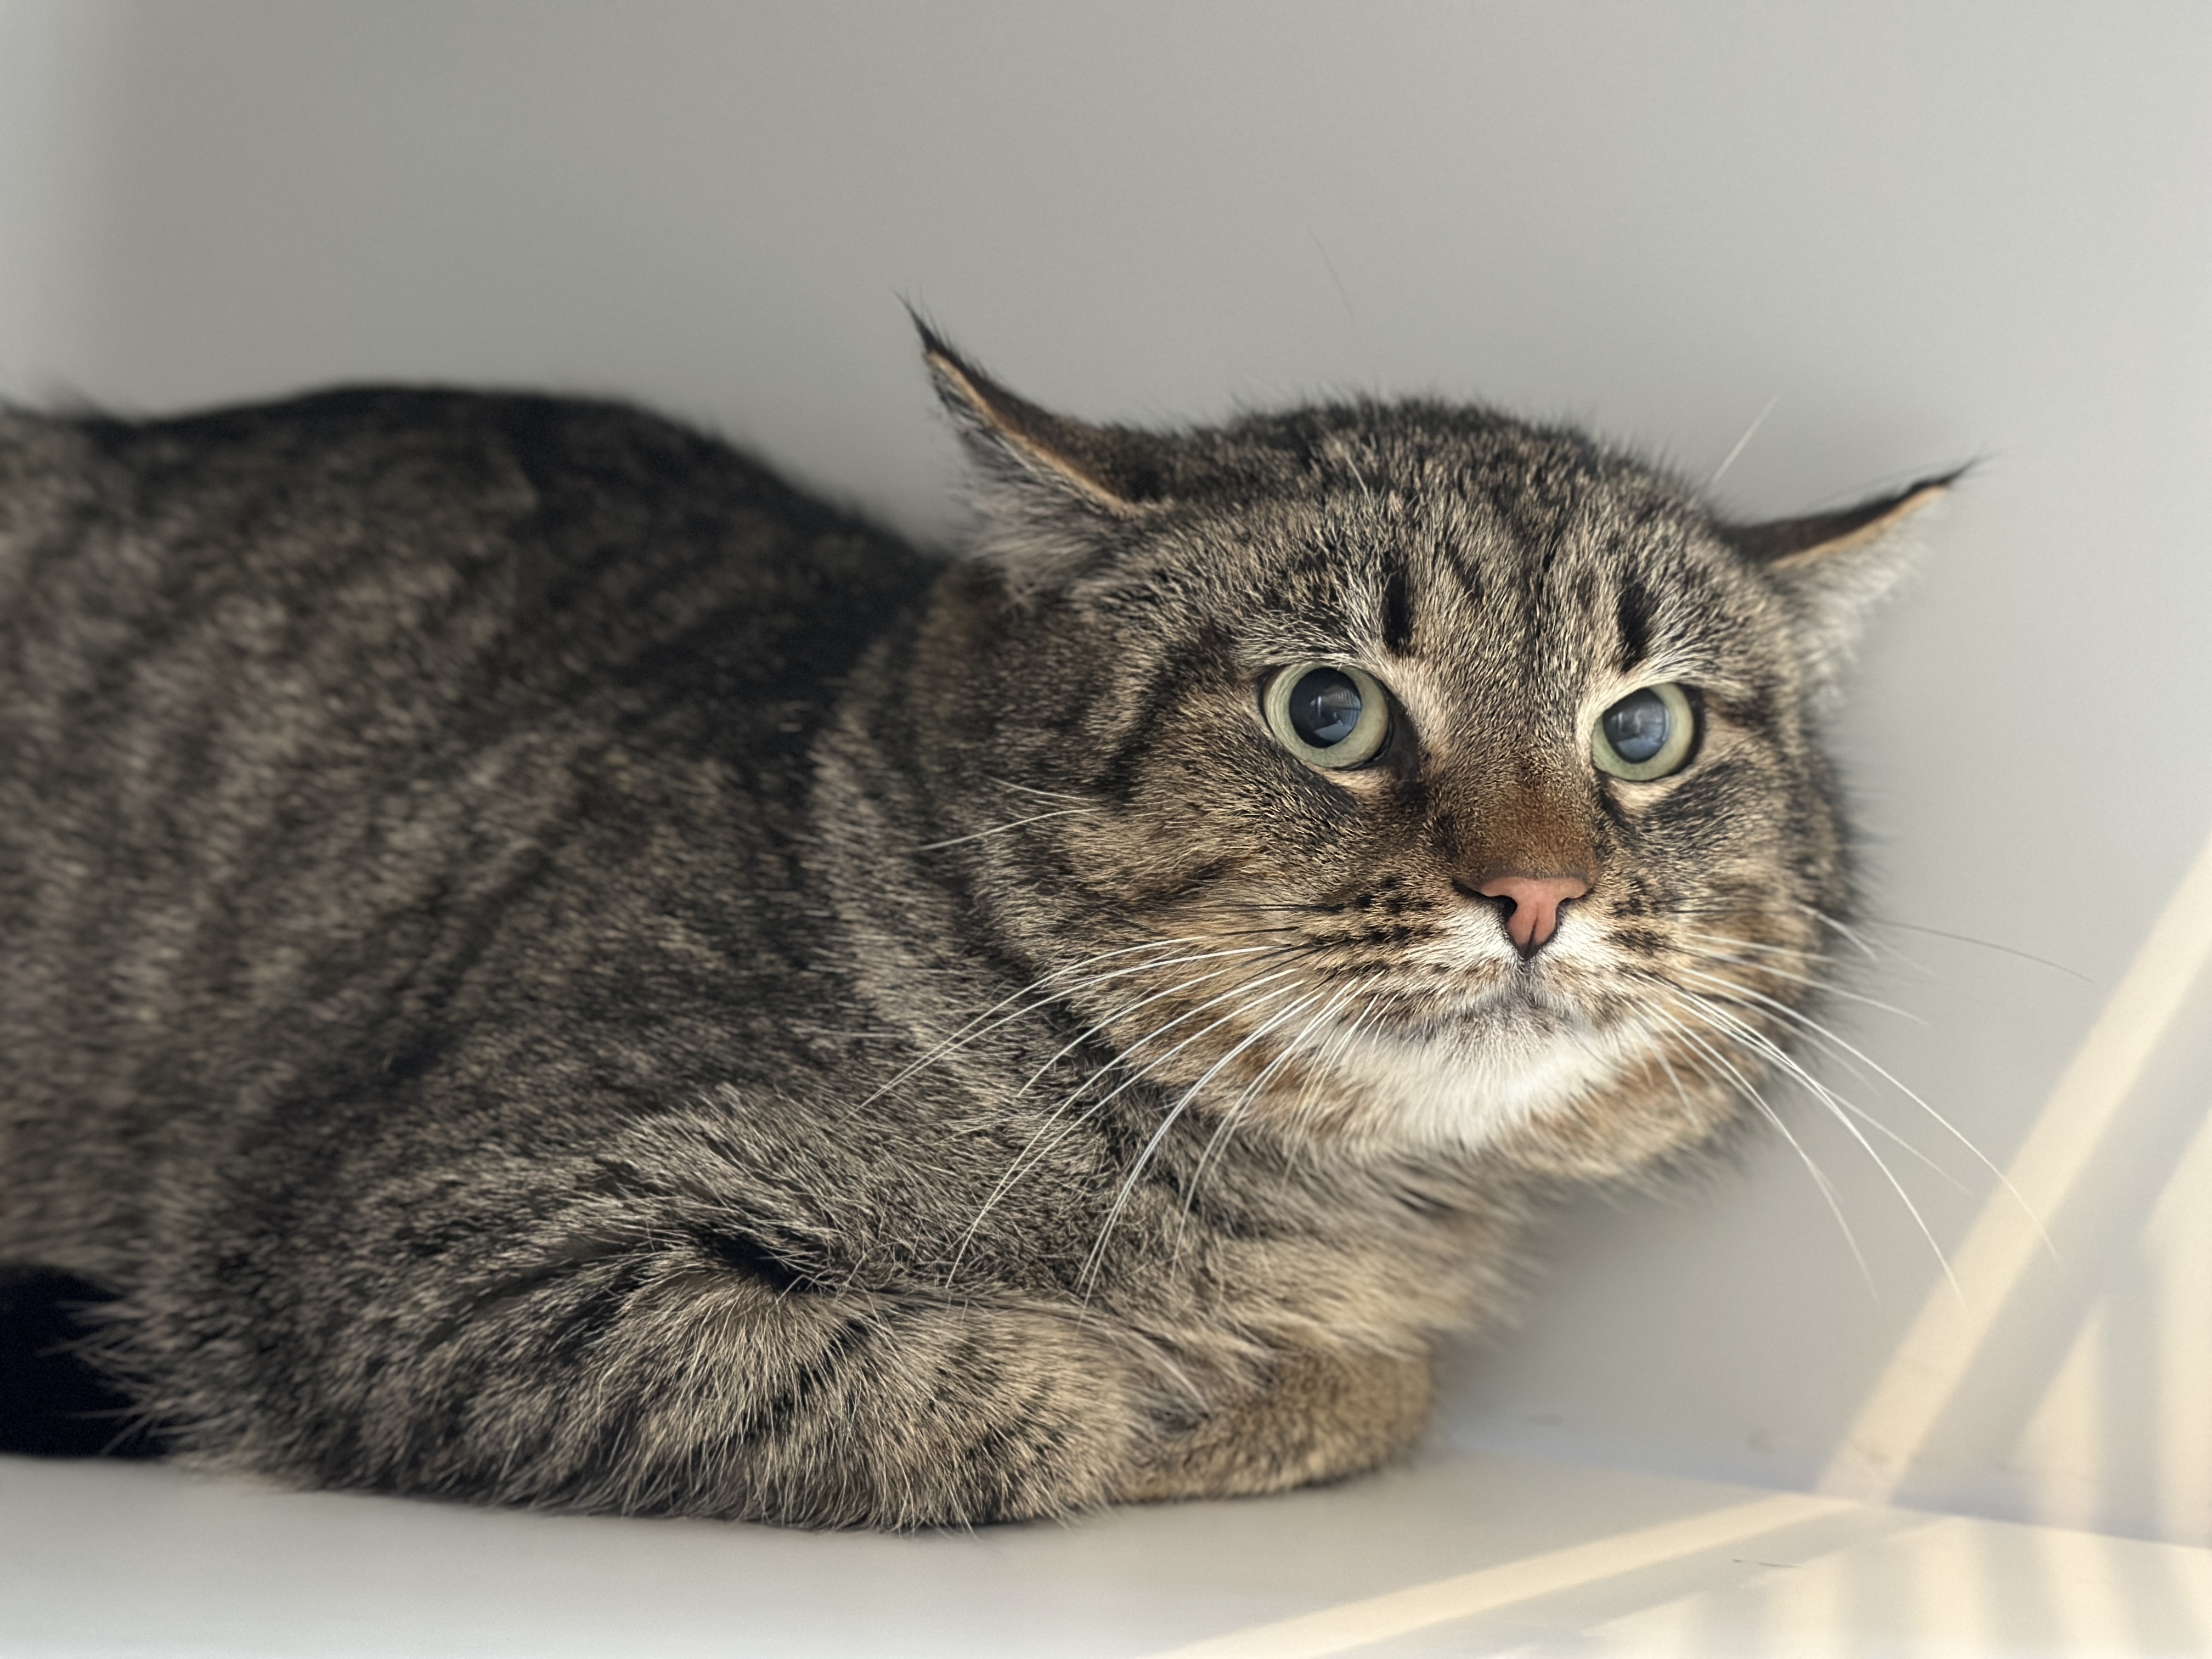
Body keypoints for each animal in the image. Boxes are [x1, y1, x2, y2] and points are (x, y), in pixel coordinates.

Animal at [0, 322, 1947, 1528]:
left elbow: (1363, 1389)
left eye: (1647, 731)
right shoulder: (433, 1258)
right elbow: (1014, 1396)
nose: (1538, 892)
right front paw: (1168, 1390)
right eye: (1329, 711)